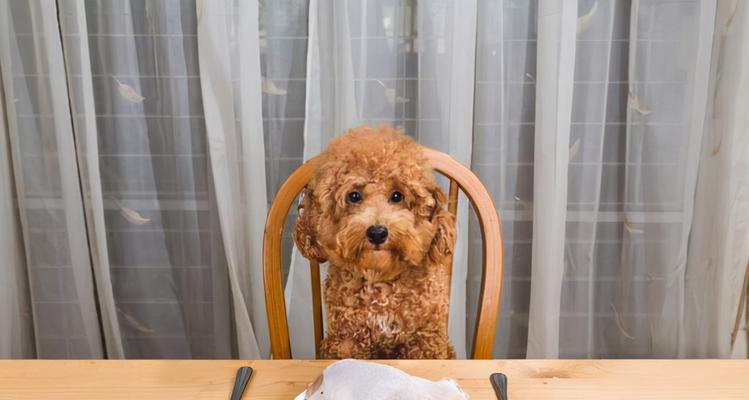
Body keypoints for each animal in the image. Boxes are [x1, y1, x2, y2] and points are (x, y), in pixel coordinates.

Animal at [292, 125, 456, 360]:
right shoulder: (347, 340)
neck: (381, 280)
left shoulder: (426, 339)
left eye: (397, 196)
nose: (377, 233)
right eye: (354, 196)